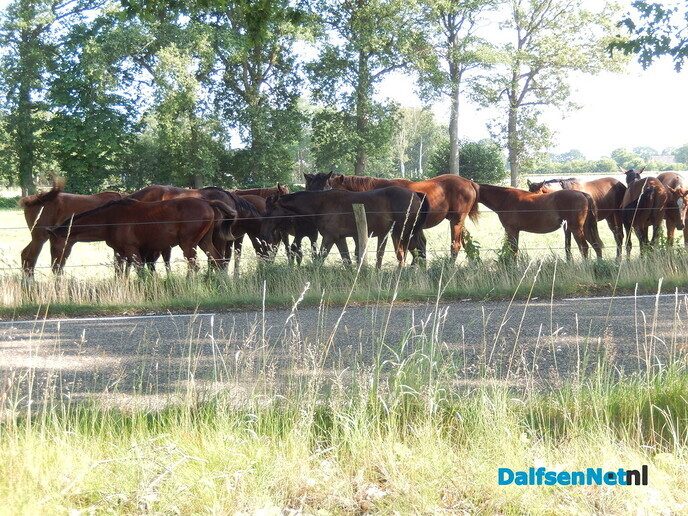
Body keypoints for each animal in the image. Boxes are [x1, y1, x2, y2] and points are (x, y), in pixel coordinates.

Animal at [47, 198, 237, 275]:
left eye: (54, 246)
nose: (54, 268)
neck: (110, 218)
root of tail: (208, 202)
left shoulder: (132, 250)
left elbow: (140, 272)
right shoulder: (120, 252)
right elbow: (121, 273)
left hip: (188, 244)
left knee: (194, 266)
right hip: (204, 242)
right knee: (218, 261)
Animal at [260, 187, 428, 268]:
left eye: (270, 211)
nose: (264, 234)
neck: (321, 204)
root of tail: (416, 194)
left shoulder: (329, 238)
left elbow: (319, 259)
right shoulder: (339, 239)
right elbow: (346, 260)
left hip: (403, 233)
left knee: (409, 253)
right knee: (417, 251)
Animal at [304, 172, 479, 261]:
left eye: (327, 187)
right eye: (309, 187)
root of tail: (469, 182)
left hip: (456, 221)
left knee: (455, 246)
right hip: (458, 223)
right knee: (463, 244)